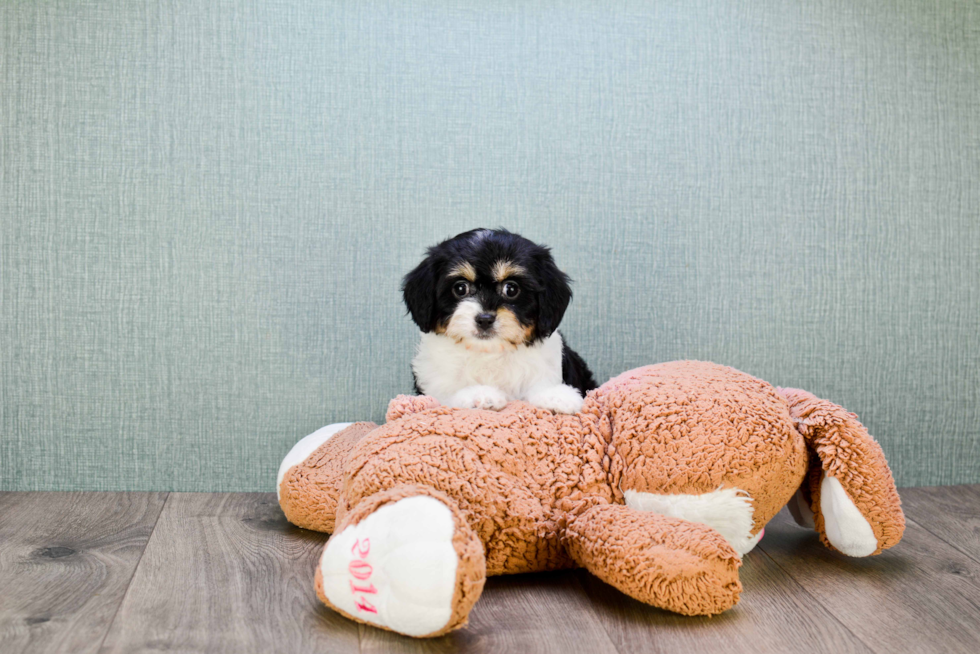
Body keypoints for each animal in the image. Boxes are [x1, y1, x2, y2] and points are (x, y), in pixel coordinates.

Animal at [400, 231, 596, 416]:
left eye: (511, 289)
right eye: (460, 288)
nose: (485, 319)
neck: (489, 353)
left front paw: (556, 395)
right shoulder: (434, 382)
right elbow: (446, 397)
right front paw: (479, 394)